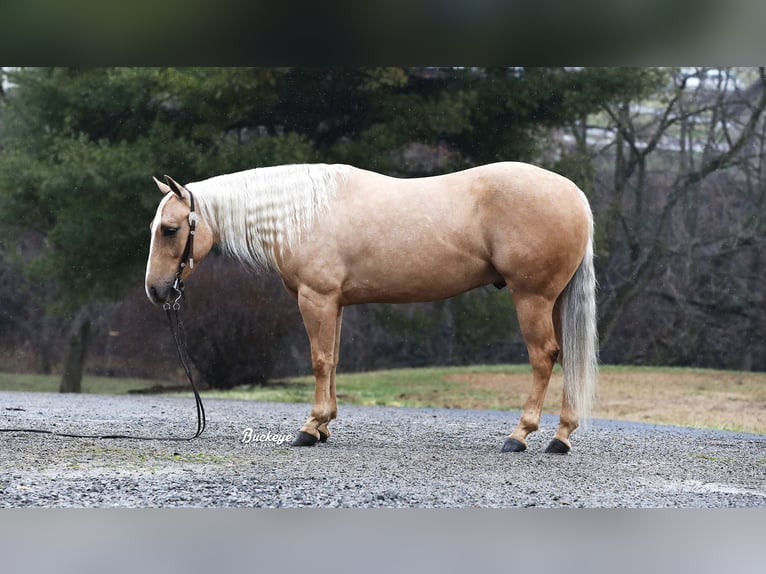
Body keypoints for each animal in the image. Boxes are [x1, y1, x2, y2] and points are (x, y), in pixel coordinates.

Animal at [146, 162, 600, 454]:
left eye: (170, 229)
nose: (155, 290)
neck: (305, 214)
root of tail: (575, 194)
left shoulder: (316, 297)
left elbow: (319, 360)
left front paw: (309, 428)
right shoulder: (336, 302)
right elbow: (333, 360)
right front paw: (324, 425)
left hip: (532, 297)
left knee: (543, 357)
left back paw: (520, 435)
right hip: (553, 300)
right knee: (566, 357)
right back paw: (561, 437)